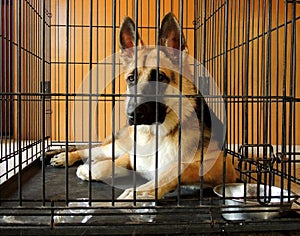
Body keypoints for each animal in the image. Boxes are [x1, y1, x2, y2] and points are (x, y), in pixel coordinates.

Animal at [50, 12, 238, 201]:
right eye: (131, 78)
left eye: (160, 78)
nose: (132, 115)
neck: (155, 135)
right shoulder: (130, 156)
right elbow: (110, 164)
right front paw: (91, 169)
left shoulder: (223, 167)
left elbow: (174, 169)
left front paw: (140, 191)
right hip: (119, 146)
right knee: (92, 150)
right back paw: (66, 157)